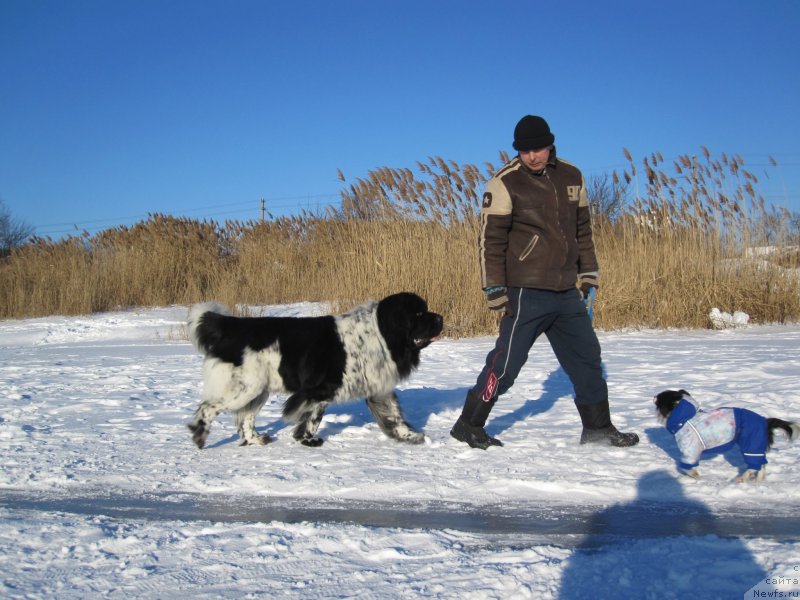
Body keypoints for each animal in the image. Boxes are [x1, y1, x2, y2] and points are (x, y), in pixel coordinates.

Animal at [186, 290, 444, 450]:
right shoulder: (321, 388)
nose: (440, 318)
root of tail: (232, 325)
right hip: (245, 388)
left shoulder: (377, 388)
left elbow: (394, 415)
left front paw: (409, 436)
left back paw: (256, 439)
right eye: (418, 314)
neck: (380, 333)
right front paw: (307, 439)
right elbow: (312, 416)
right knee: (208, 407)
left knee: (246, 417)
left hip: (258, 390)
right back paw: (199, 436)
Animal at [652, 390, 796, 482]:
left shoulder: (690, 450)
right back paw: (758, 481)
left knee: (754, 465)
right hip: (757, 447)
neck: (685, 417)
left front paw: (695, 476)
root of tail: (765, 421)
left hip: (751, 445)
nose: (654, 396)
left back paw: (741, 478)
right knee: (762, 465)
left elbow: (688, 467)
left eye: (661, 397)